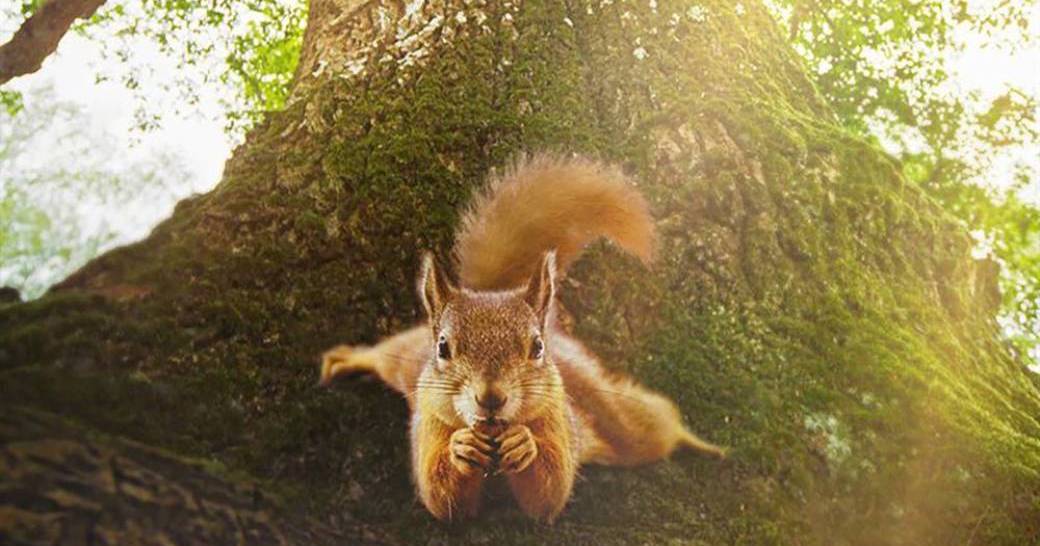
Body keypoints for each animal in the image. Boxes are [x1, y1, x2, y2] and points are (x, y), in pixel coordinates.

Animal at [318, 154, 723, 522]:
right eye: (444, 347)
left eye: (536, 347)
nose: (491, 398)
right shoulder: (429, 425)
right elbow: (442, 499)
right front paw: (460, 447)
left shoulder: (557, 418)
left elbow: (549, 494)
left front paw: (525, 445)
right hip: (405, 359)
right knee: (385, 354)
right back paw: (347, 358)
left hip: (612, 414)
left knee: (649, 425)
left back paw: (700, 442)